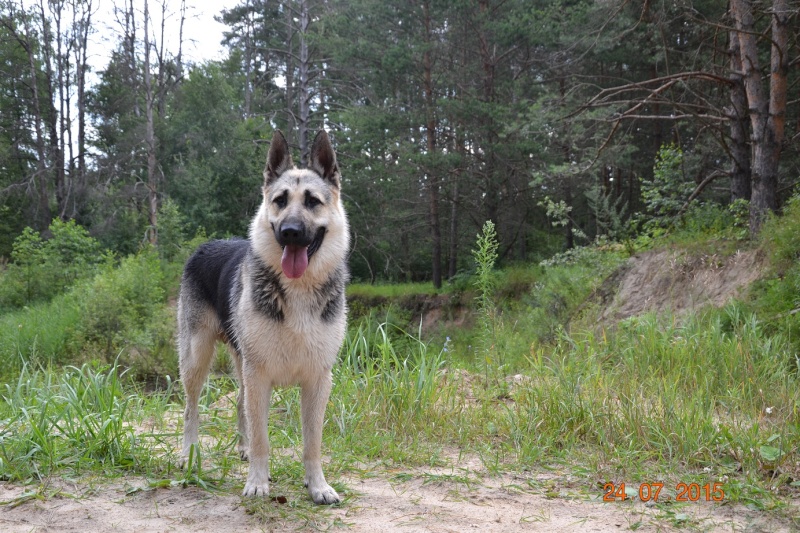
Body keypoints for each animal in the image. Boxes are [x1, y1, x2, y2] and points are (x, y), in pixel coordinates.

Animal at [180, 129, 348, 502]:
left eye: (313, 201)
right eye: (280, 200)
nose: (290, 232)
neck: (297, 289)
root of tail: (207, 244)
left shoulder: (317, 380)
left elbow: (312, 443)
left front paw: (318, 485)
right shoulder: (260, 376)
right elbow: (262, 437)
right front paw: (258, 482)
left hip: (240, 364)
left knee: (239, 403)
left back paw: (239, 449)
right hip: (197, 359)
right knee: (190, 409)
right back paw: (188, 454)